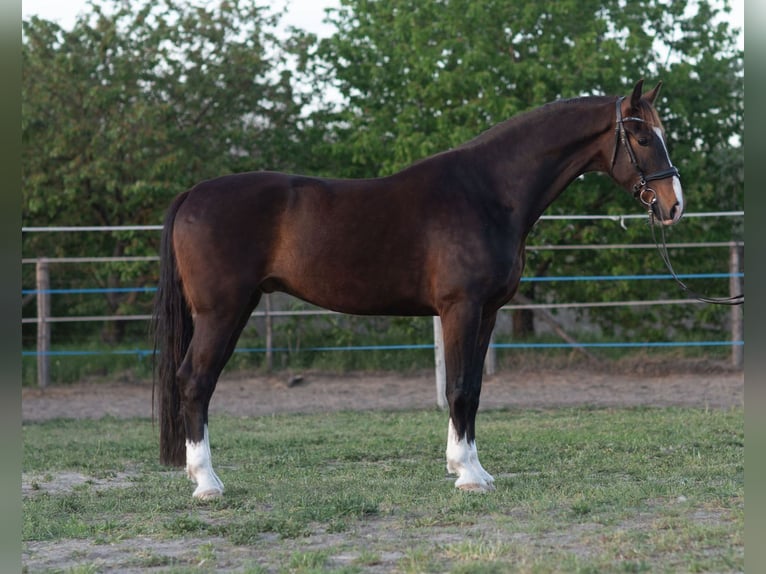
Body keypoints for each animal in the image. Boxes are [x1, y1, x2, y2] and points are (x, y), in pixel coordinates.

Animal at [153, 79, 683, 499]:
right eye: (640, 136)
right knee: (195, 381)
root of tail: (194, 193)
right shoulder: (460, 308)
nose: (673, 205)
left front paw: (469, 467)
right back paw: (207, 484)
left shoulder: (487, 312)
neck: (488, 192)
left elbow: (474, 387)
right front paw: (468, 476)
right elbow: (458, 388)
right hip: (222, 311)